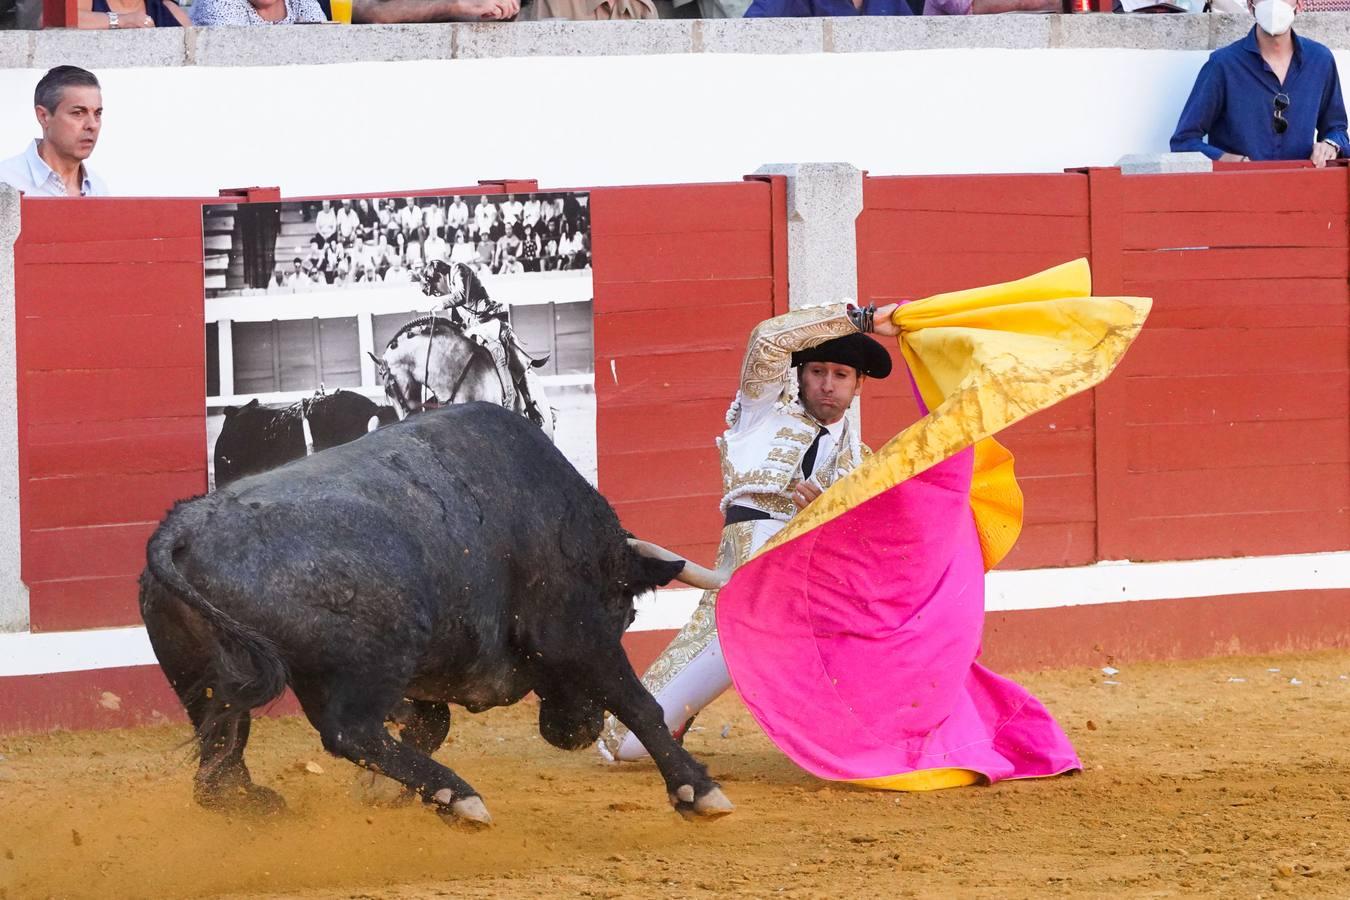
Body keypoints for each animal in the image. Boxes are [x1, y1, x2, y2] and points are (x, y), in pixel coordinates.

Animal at [142, 404, 734, 825]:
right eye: (626, 615)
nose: (576, 734)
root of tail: (183, 529)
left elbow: (433, 723)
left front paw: (382, 792)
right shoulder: (575, 637)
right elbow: (639, 704)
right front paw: (698, 790)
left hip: (207, 683)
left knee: (219, 763)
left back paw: (256, 804)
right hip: (366, 667)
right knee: (348, 734)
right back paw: (460, 797)